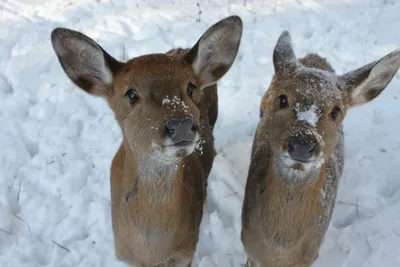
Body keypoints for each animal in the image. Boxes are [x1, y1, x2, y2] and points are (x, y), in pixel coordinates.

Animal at [51, 15, 242, 266]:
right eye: (131, 94)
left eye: (190, 87)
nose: (181, 125)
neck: (151, 251)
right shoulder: (125, 255)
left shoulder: (186, 253)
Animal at [241, 30, 400, 266]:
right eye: (283, 99)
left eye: (336, 111)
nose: (302, 145)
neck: (278, 252)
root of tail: (315, 57)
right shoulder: (249, 249)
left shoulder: (309, 258)